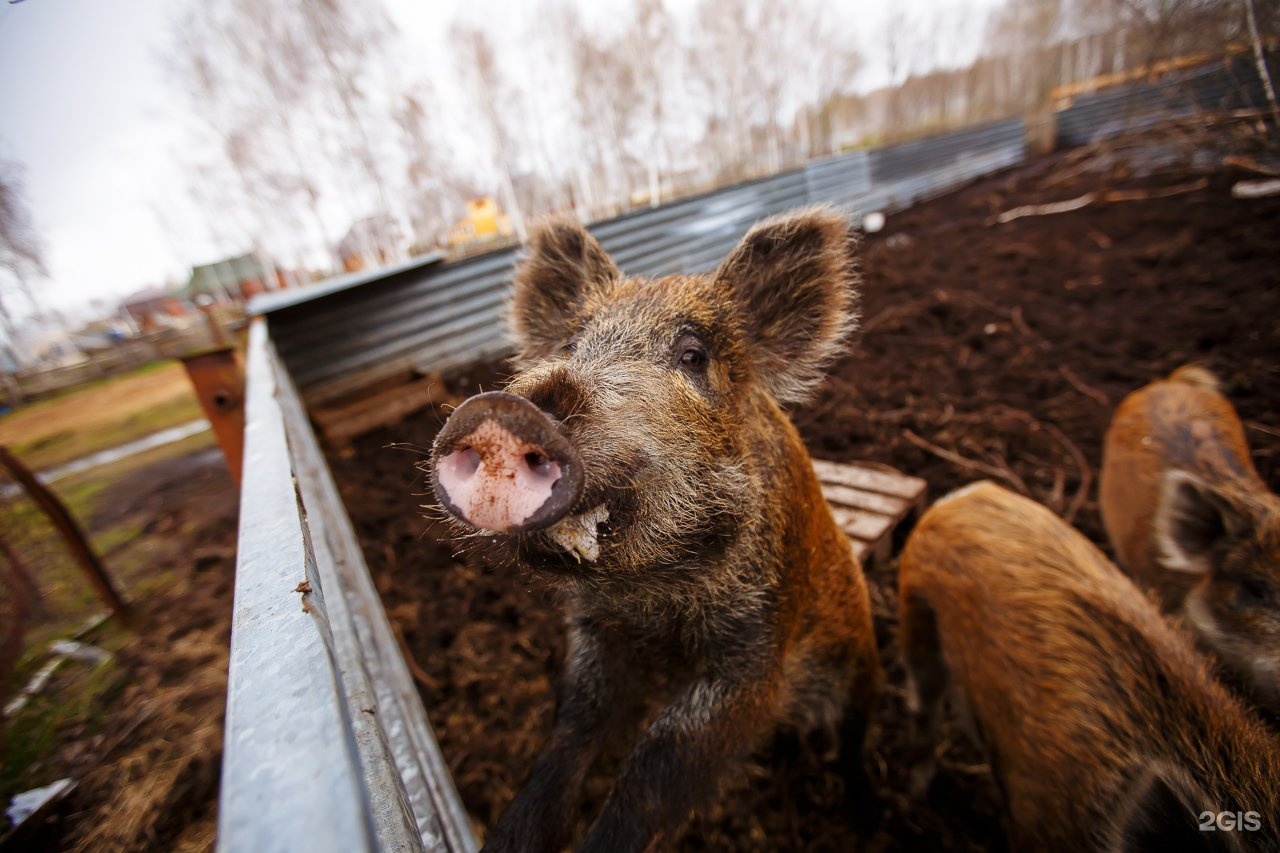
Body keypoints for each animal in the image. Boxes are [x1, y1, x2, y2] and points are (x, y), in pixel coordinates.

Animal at [430, 207, 880, 850]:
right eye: (572, 344)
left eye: (692, 356)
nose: (502, 411)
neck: (652, 596)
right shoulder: (592, 631)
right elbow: (573, 725)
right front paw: (511, 838)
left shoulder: (756, 654)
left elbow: (658, 760)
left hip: (861, 661)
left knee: (854, 739)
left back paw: (868, 815)